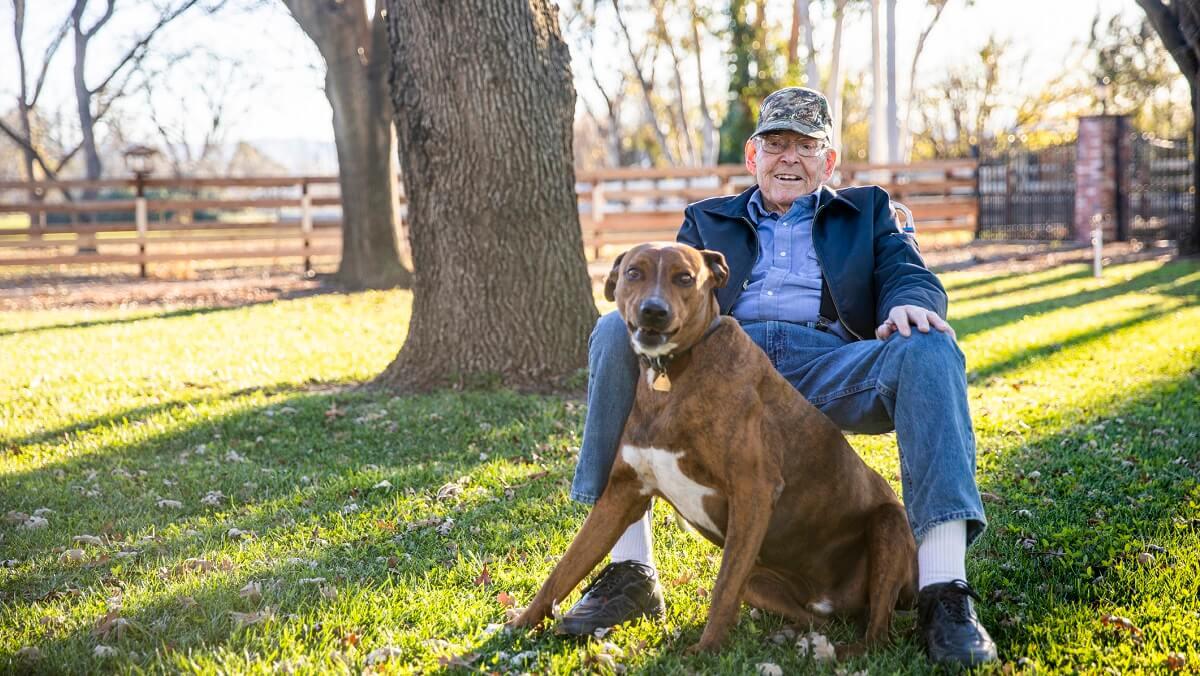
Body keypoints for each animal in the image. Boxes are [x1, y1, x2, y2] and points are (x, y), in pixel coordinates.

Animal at [508, 243, 916, 657]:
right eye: (634, 273)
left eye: (685, 278)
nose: (653, 310)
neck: (671, 373)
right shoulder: (621, 495)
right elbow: (563, 570)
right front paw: (519, 625)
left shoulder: (752, 492)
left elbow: (722, 588)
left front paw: (705, 650)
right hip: (761, 581)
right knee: (818, 621)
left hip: (889, 525)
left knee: (878, 632)